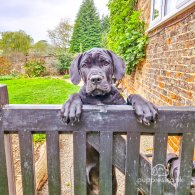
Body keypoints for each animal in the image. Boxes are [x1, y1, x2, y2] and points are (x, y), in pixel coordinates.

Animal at [61, 48, 158, 194]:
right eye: (84, 65)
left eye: (105, 63)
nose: (95, 79)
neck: (99, 97)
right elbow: (75, 94)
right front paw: (70, 105)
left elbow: (132, 95)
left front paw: (145, 106)